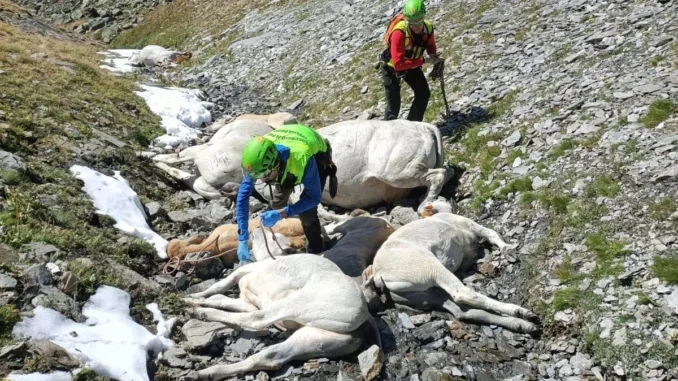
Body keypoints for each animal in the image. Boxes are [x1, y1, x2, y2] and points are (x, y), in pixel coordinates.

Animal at [181, 252, 374, 380]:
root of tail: (365, 314)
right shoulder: (246, 301)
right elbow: (219, 297)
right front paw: (193, 298)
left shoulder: (245, 273)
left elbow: (219, 287)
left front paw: (189, 300)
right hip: (316, 337)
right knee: (271, 356)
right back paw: (202, 374)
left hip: (298, 302)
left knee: (258, 320)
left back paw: (197, 313)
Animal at [364, 211, 544, 332]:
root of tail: (378, 274)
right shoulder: (472, 225)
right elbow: (491, 233)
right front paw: (509, 251)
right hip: (428, 266)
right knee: (462, 293)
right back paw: (522, 312)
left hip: (426, 294)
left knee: (463, 312)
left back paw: (525, 325)